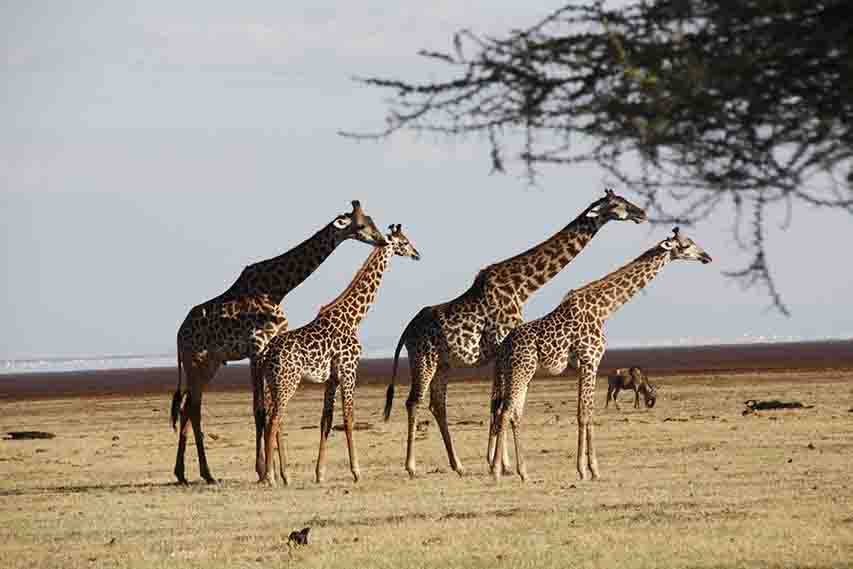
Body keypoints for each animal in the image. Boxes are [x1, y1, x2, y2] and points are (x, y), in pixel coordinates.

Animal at [173, 200, 386, 484]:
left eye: (372, 220)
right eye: (361, 225)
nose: (382, 240)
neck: (277, 288)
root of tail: (178, 335)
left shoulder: (270, 347)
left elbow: (273, 411)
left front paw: (282, 473)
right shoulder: (256, 348)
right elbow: (261, 410)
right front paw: (263, 471)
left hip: (210, 364)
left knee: (188, 407)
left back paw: (185, 474)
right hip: (194, 361)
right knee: (193, 408)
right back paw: (205, 474)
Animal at [258, 224, 422, 486]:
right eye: (404, 242)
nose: (417, 254)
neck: (353, 317)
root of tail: (265, 354)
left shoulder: (332, 378)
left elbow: (326, 420)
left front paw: (320, 473)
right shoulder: (349, 369)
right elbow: (348, 418)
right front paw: (356, 471)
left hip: (274, 383)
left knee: (273, 419)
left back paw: (281, 475)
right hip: (287, 382)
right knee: (273, 420)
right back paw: (272, 477)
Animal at [382, 189, 644, 478]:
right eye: (617, 204)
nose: (641, 213)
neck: (522, 286)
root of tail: (406, 331)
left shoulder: (502, 351)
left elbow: (498, 402)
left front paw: (498, 462)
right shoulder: (501, 343)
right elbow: (500, 402)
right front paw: (501, 464)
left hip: (444, 364)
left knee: (437, 404)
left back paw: (458, 465)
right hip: (423, 359)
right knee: (413, 402)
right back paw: (412, 467)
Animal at [490, 226, 708, 480]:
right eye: (686, 245)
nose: (707, 256)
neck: (604, 310)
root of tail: (503, 347)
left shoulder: (584, 365)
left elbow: (582, 412)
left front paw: (584, 468)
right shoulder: (590, 361)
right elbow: (587, 413)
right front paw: (590, 470)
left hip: (518, 373)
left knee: (513, 413)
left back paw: (523, 472)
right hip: (521, 370)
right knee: (505, 412)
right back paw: (497, 471)